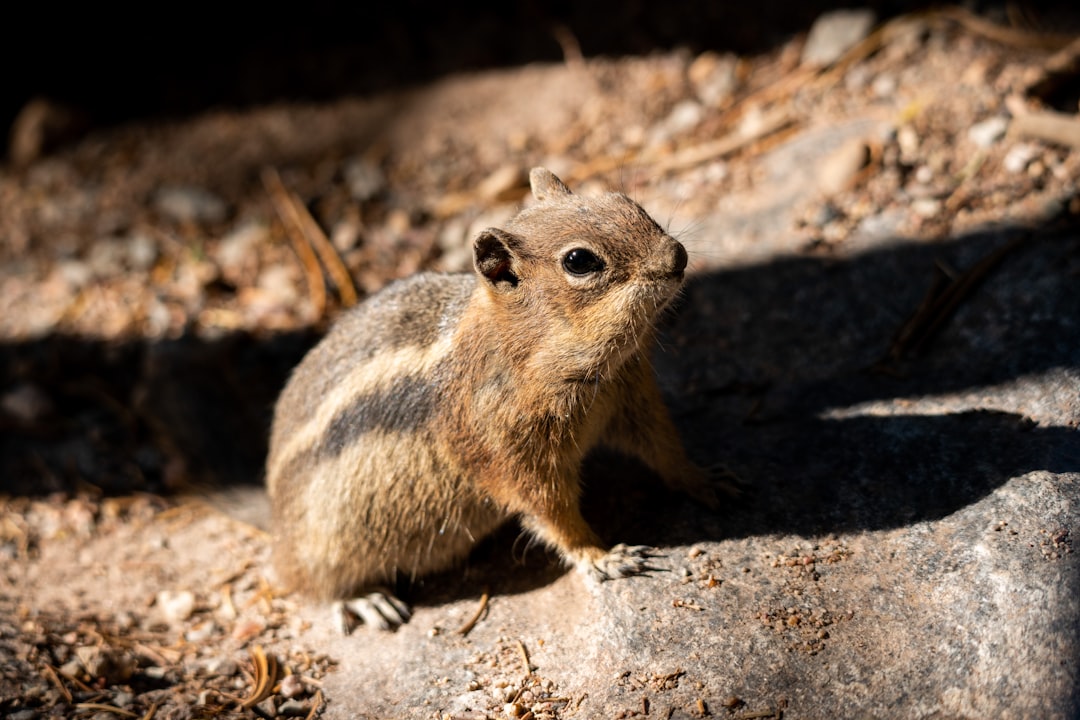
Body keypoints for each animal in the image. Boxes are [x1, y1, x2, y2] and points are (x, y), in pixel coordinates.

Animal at [263, 167, 717, 630]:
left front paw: (706, 478)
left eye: (626, 201)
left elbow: (664, 448)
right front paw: (602, 557)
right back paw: (366, 600)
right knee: (314, 586)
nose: (677, 256)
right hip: (326, 549)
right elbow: (551, 513)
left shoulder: (632, 398)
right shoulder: (512, 455)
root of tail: (276, 526)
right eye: (579, 261)